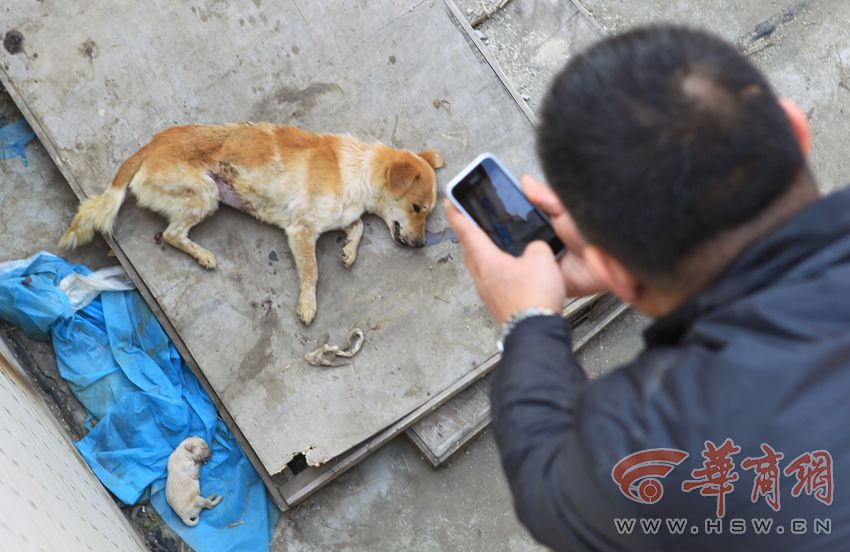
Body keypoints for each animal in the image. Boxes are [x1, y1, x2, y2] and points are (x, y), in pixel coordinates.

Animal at [58, 124, 444, 324]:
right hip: (207, 194)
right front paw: (308, 305)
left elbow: (358, 226)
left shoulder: (338, 216)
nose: (422, 245)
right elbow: (312, 273)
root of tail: (149, 146)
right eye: (417, 207)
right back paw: (203, 255)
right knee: (170, 234)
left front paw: (349, 250)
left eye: (428, 212)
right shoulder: (301, 231)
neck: (356, 172)